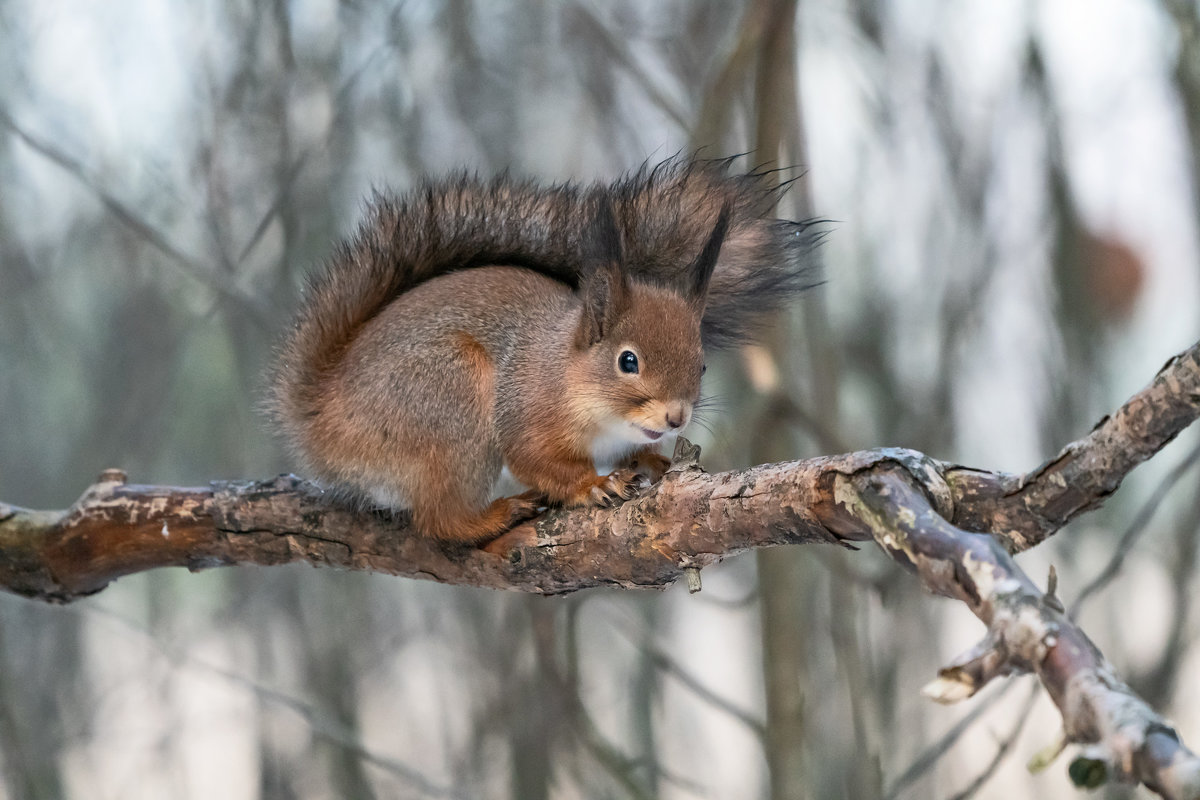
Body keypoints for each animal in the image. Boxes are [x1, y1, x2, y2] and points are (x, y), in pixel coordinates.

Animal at [267, 155, 820, 544]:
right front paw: (590, 485)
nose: (677, 417)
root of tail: (323, 417)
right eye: (628, 361)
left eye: (702, 364)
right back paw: (492, 515)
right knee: (438, 520)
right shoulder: (527, 409)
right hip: (448, 400)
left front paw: (652, 462)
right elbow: (533, 457)